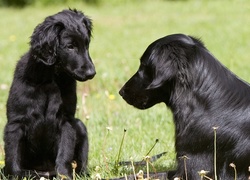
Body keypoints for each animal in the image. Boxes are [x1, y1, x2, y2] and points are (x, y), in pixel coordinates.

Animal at [4, 8, 95, 180]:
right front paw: (16, 175)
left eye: (86, 44)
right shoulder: (15, 123)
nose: (91, 73)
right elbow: (12, 155)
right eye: (70, 46)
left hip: (80, 125)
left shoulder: (67, 122)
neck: (50, 79)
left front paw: (64, 175)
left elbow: (64, 153)